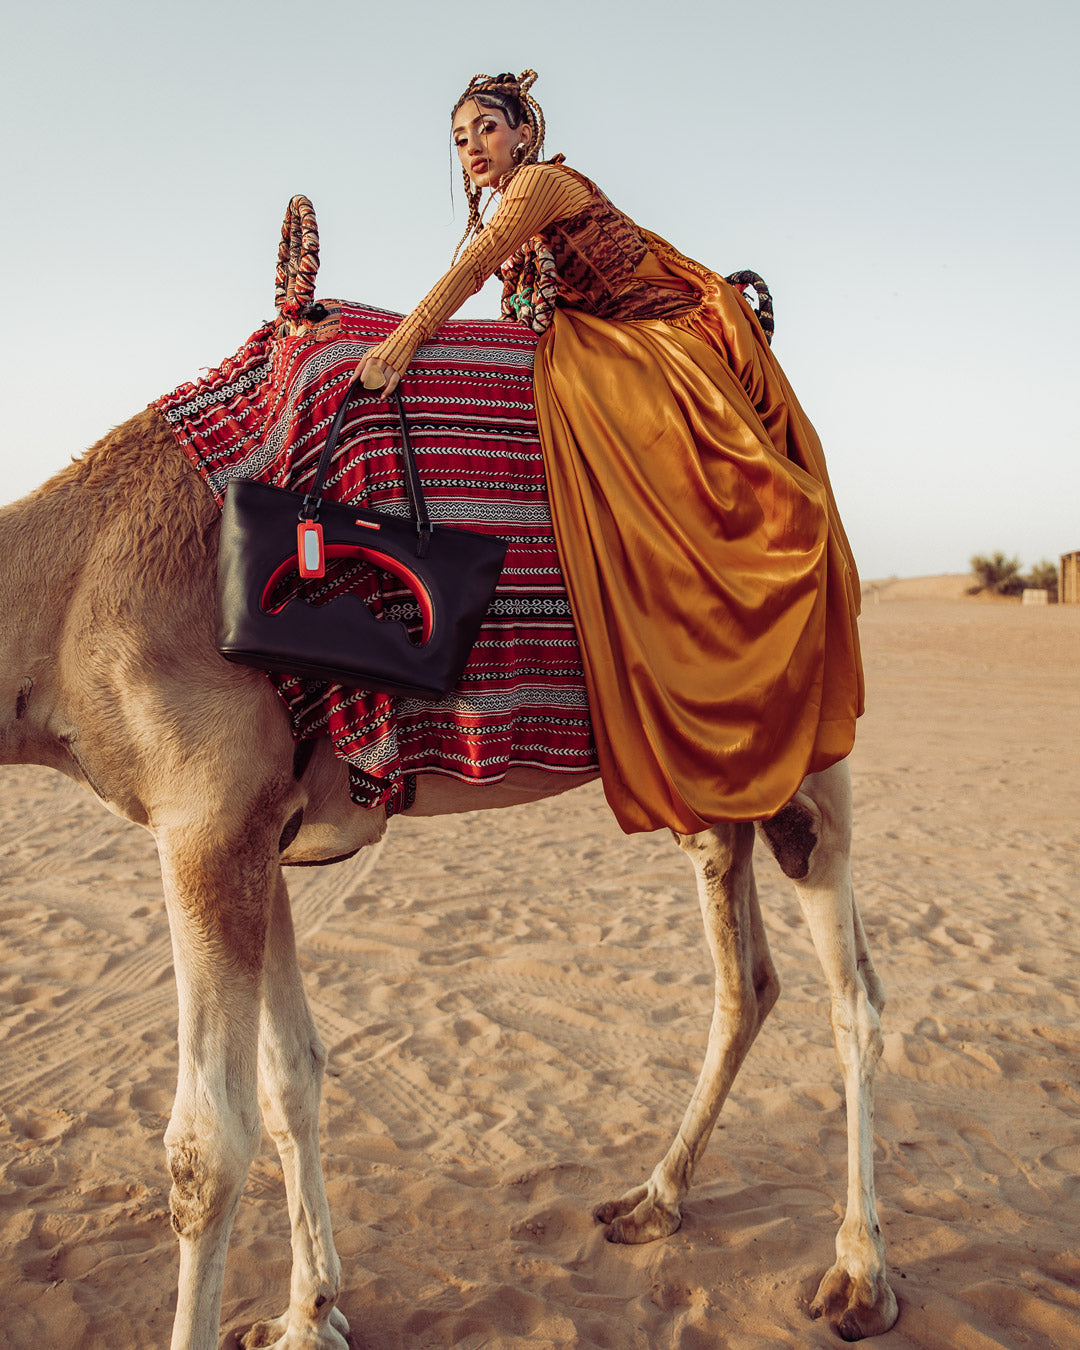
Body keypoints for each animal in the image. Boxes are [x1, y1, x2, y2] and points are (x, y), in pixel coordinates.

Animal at [0, 321, 896, 1344]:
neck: (69, 599)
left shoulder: (204, 819)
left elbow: (205, 1146)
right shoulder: (260, 834)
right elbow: (290, 1076)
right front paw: (308, 1316)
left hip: (812, 752)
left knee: (857, 996)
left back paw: (859, 1274)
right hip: (708, 784)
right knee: (746, 981)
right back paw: (653, 1201)